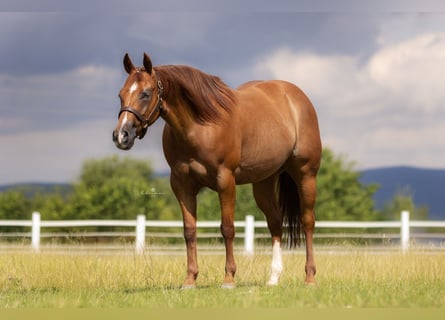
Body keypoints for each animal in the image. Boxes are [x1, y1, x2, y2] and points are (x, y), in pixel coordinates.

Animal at [110, 52, 320, 288]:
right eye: (121, 94)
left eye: (145, 94)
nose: (121, 135)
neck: (199, 126)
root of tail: (295, 96)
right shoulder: (181, 184)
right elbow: (189, 230)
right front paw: (189, 279)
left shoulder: (225, 180)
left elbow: (227, 228)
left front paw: (228, 278)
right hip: (263, 182)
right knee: (275, 224)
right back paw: (273, 278)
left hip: (306, 175)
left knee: (307, 222)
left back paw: (310, 277)